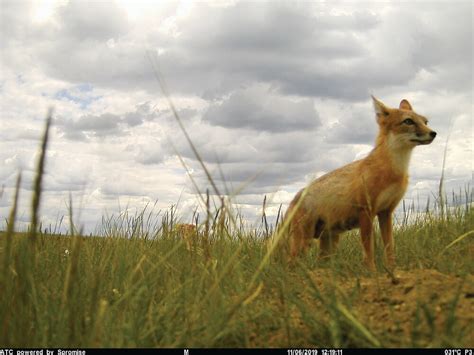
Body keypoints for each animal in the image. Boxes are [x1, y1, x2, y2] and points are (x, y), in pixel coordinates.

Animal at [284, 96, 436, 272]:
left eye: (425, 121)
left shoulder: (386, 212)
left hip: (328, 244)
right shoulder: (366, 212)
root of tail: (294, 199)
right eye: (408, 121)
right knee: (290, 264)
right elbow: (369, 250)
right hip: (304, 243)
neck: (393, 171)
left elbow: (390, 247)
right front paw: (372, 272)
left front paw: (392, 270)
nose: (433, 133)